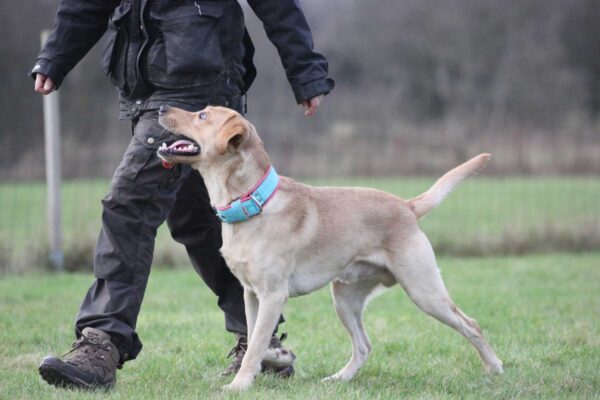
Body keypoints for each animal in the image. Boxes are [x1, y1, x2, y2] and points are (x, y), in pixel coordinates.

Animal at [156, 104, 502, 390]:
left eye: (202, 115)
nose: (160, 107)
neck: (252, 203)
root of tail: (407, 206)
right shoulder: (250, 294)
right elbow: (254, 337)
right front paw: (264, 367)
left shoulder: (272, 294)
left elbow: (255, 345)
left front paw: (239, 385)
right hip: (345, 298)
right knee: (363, 346)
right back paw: (338, 379)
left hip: (424, 290)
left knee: (471, 325)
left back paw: (495, 368)